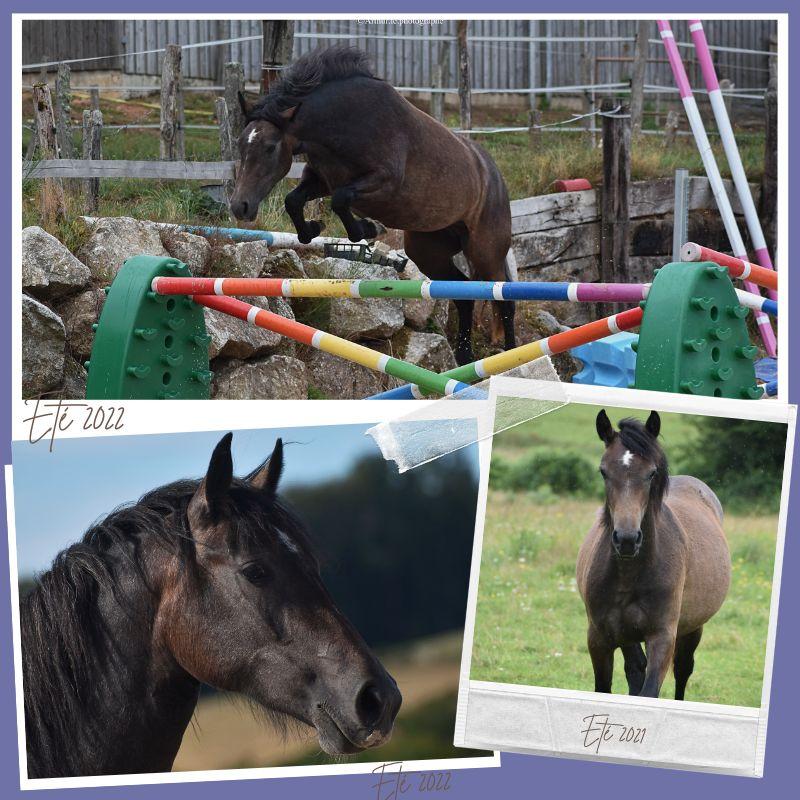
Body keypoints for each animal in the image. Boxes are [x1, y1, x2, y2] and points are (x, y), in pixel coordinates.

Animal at [230, 47, 520, 366]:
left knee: (504, 299)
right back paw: (465, 357)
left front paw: (367, 228)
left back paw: (513, 357)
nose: (240, 207)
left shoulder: (384, 183)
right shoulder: (320, 179)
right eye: (241, 144)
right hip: (429, 250)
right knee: (463, 295)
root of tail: (493, 173)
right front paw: (313, 229)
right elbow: (294, 200)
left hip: (485, 249)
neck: (345, 124)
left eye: (270, 147)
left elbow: (340, 200)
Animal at [576, 412, 732, 700]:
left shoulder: (662, 637)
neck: (629, 574)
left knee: (682, 669)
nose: (627, 540)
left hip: (692, 627)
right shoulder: (599, 638)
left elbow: (650, 690)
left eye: (651, 473)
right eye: (603, 471)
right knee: (635, 668)